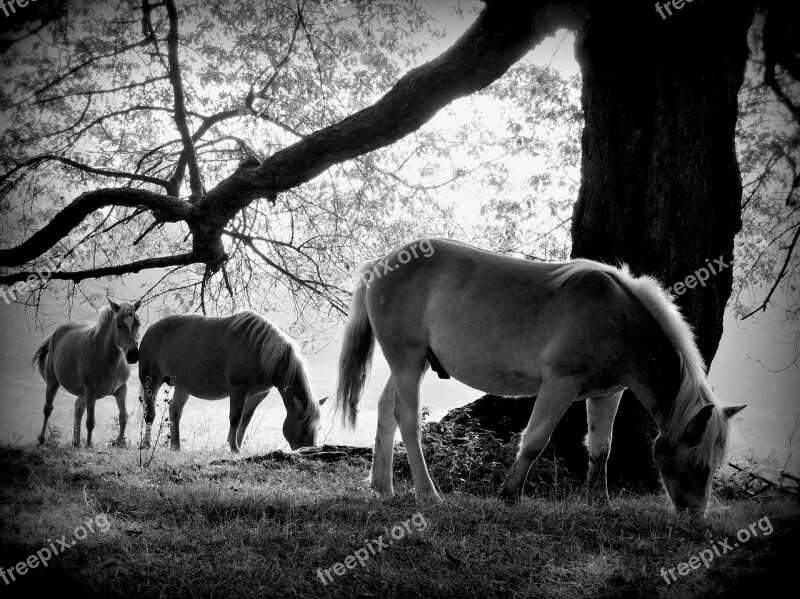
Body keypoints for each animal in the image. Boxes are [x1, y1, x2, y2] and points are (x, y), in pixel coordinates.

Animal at [33, 302, 142, 448]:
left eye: (138, 324)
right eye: (119, 325)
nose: (133, 355)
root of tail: (55, 334)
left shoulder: (121, 390)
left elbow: (123, 417)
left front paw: (119, 443)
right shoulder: (91, 392)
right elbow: (90, 421)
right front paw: (89, 446)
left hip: (82, 392)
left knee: (78, 410)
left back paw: (76, 443)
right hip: (53, 383)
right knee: (48, 409)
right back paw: (42, 439)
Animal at [138, 312, 324, 452]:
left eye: (318, 428)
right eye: (305, 427)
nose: (309, 450)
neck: (262, 350)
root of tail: (151, 330)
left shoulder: (257, 395)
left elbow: (245, 420)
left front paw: (238, 446)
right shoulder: (238, 390)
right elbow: (235, 418)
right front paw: (233, 447)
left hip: (182, 387)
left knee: (175, 412)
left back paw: (175, 446)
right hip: (151, 382)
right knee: (150, 414)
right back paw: (147, 444)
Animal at [334, 239, 748, 516]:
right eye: (697, 461)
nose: (695, 517)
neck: (619, 319)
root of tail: (380, 263)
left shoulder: (607, 394)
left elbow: (601, 447)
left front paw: (600, 502)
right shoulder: (559, 386)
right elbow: (534, 441)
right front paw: (509, 494)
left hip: (412, 363)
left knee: (386, 411)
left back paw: (383, 487)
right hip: (407, 360)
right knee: (407, 420)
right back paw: (426, 493)